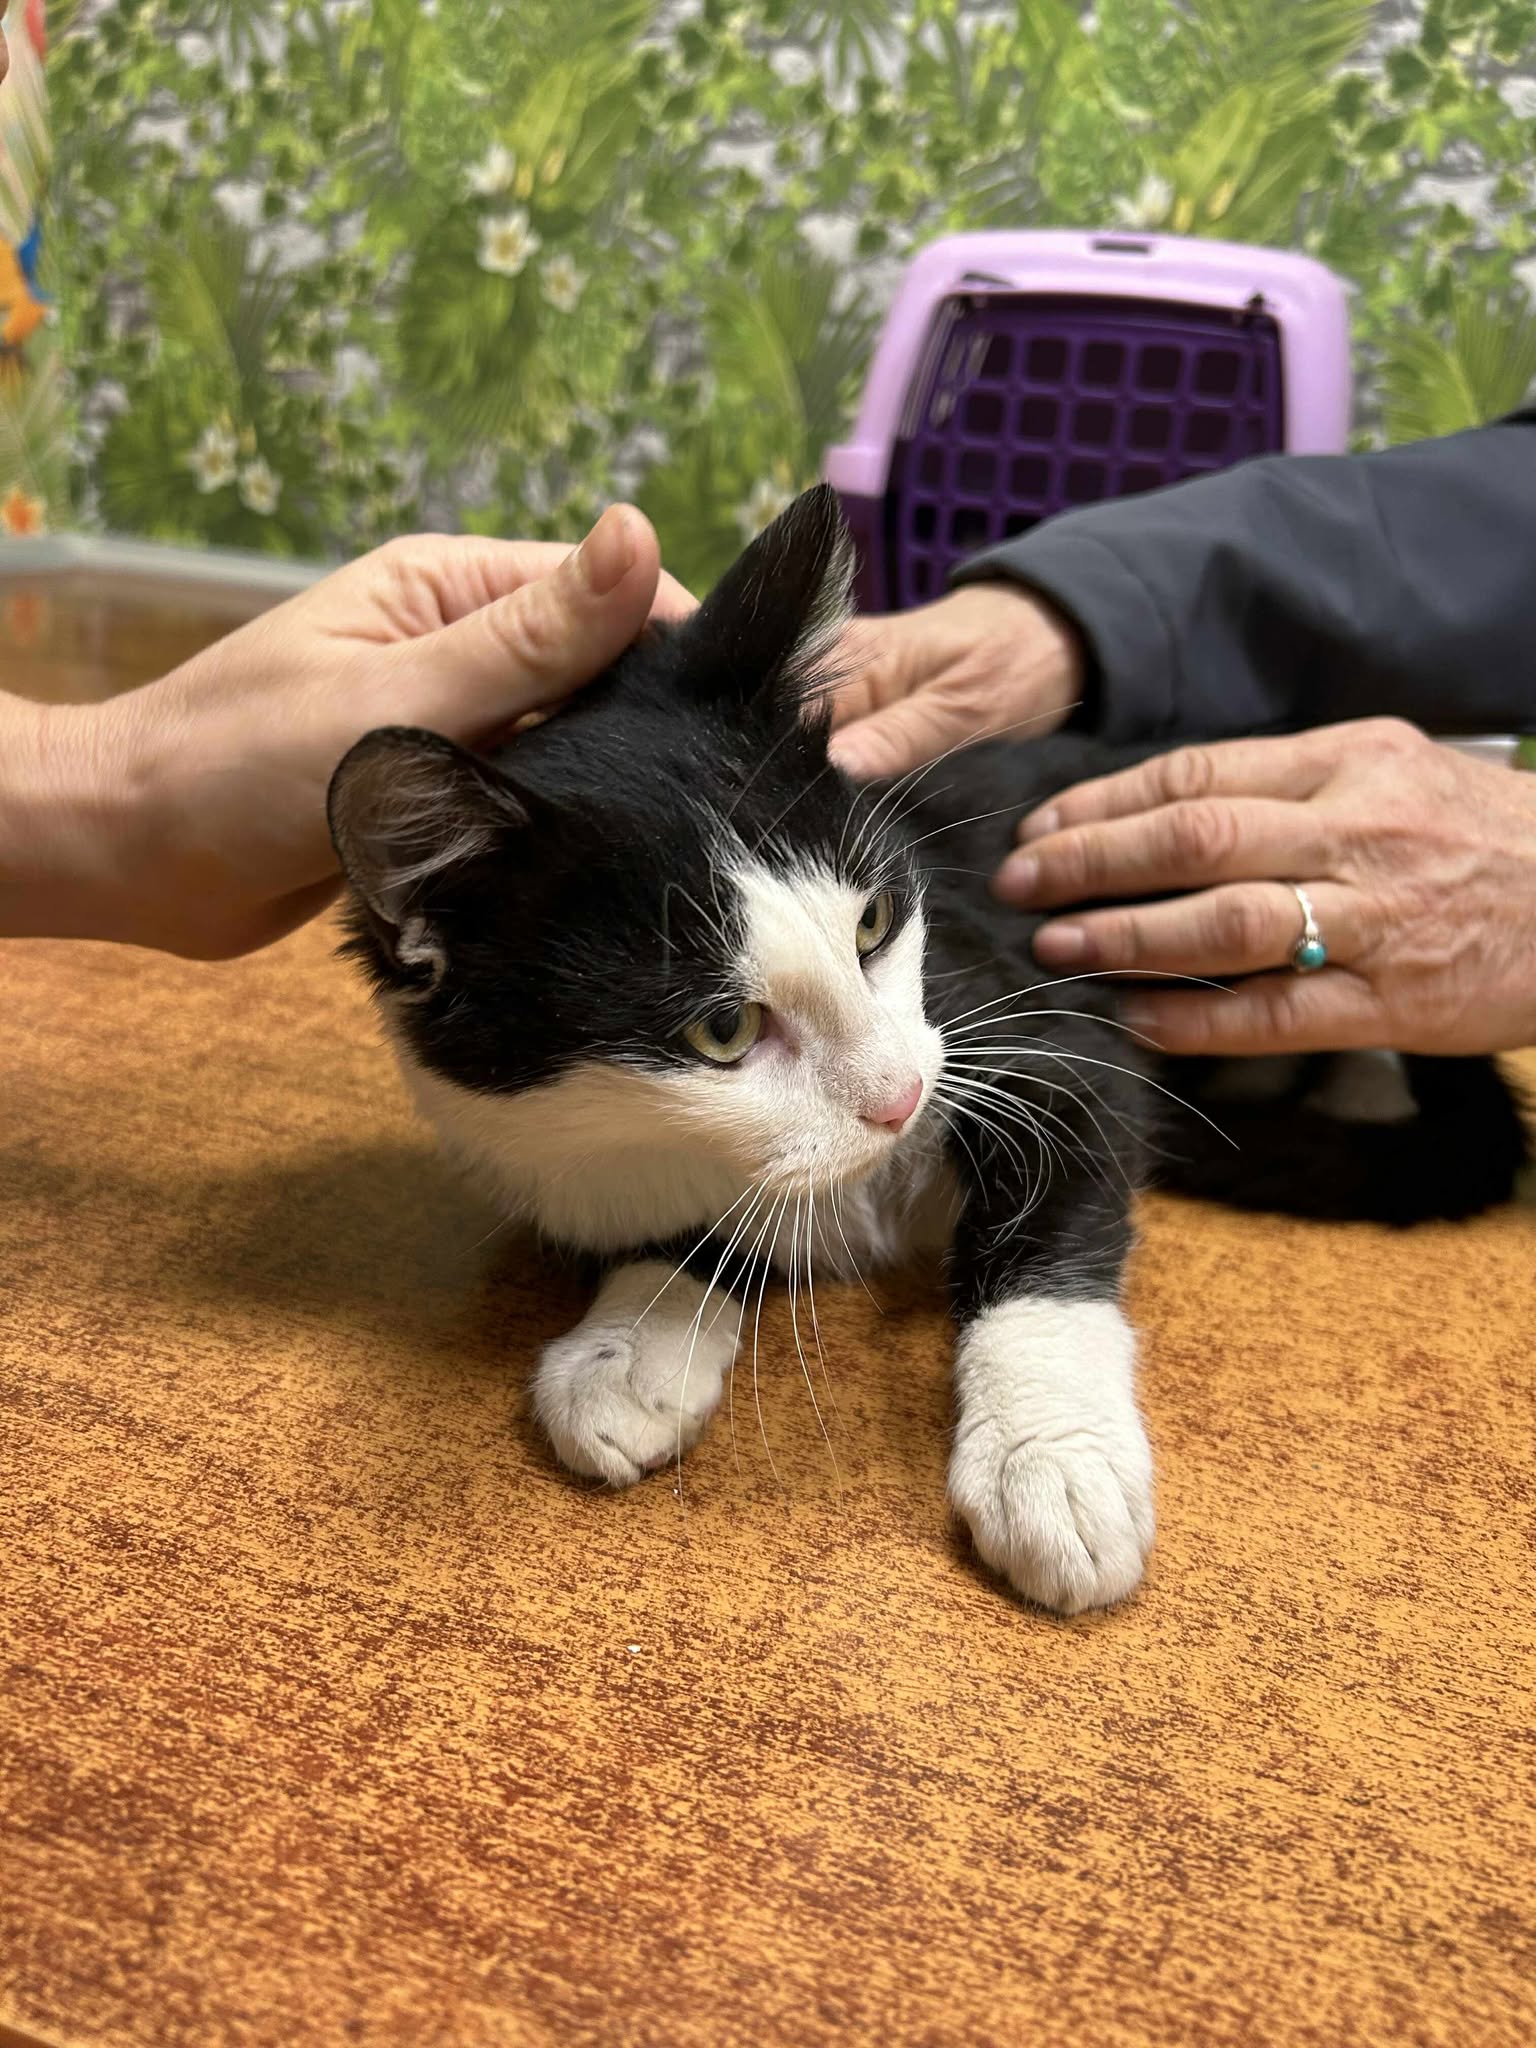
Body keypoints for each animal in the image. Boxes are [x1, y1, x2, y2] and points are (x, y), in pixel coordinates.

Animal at [327, 485, 1528, 1615]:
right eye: (722, 1030)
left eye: (873, 922)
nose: (901, 1097)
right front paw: (636, 1334)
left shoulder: (1006, 1011)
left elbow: (1060, 1195)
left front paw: (1051, 1457)